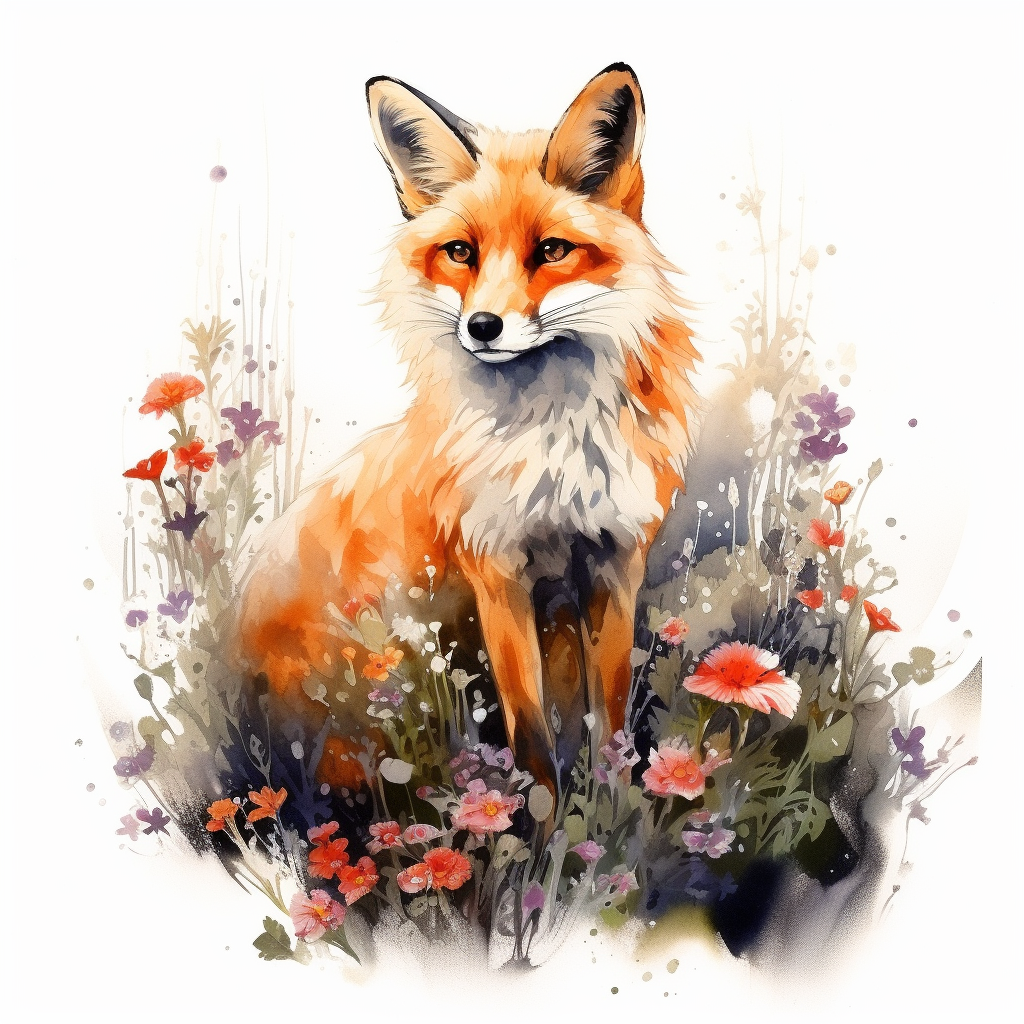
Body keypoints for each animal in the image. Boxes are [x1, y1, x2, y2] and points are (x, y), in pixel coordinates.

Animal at [230, 64, 699, 802]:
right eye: (460, 252)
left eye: (551, 251)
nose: (482, 326)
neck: (548, 442)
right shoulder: (497, 567)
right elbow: (532, 736)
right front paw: (542, 824)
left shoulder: (615, 561)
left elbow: (612, 718)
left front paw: (614, 809)